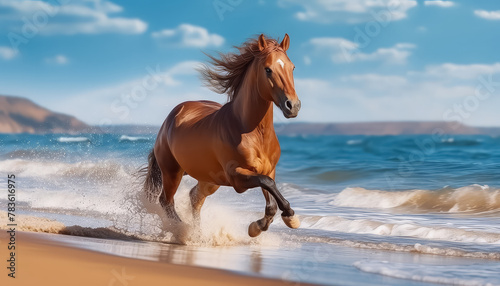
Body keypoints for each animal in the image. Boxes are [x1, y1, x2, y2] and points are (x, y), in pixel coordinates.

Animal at [143, 34, 302, 237]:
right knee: (166, 201)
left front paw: (257, 227)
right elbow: (268, 184)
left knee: (194, 198)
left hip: (209, 180)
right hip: (171, 173)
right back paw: (184, 231)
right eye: (268, 69)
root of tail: (172, 117)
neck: (252, 132)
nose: (293, 106)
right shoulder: (237, 177)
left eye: (292, 67)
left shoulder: (268, 169)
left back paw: (198, 233)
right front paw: (290, 217)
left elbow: (271, 198)